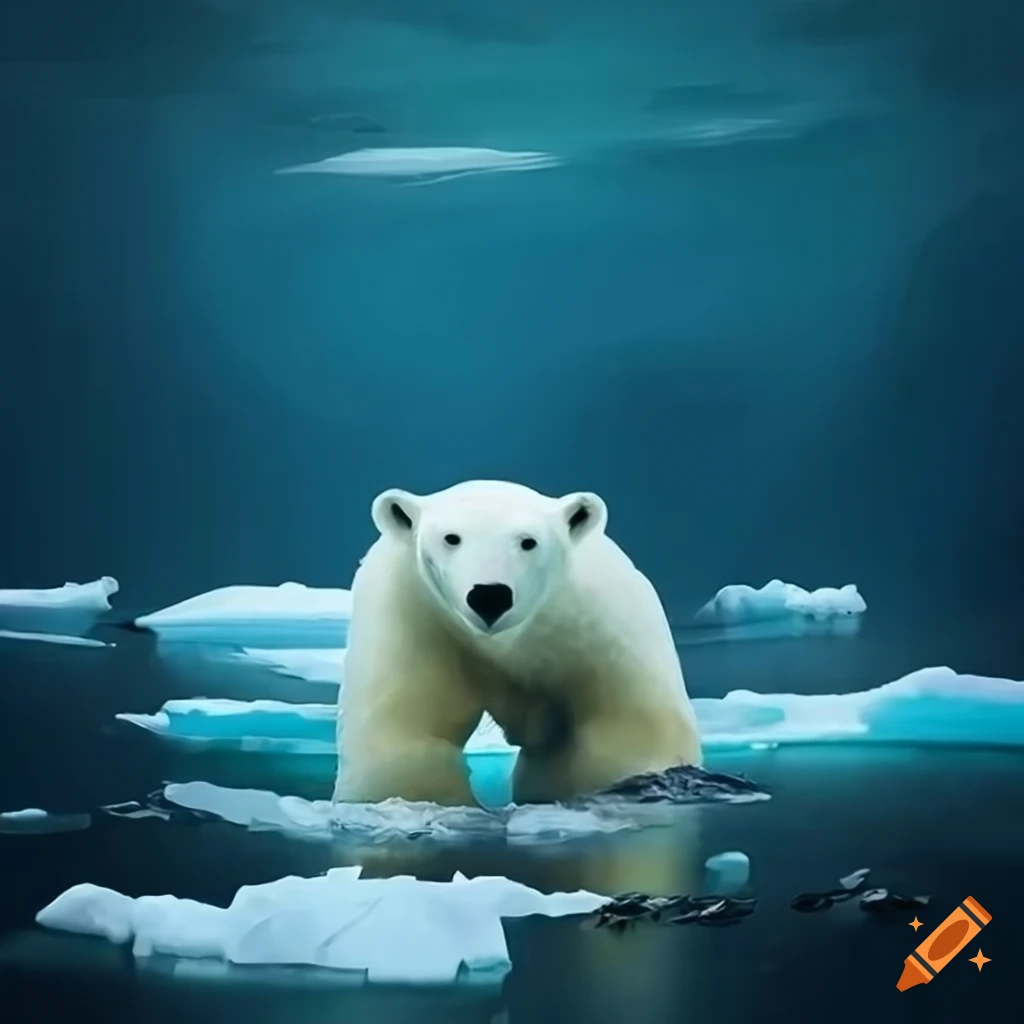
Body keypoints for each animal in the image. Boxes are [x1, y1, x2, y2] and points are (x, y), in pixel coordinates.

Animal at [332, 480, 702, 807]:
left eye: (528, 542)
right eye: (451, 538)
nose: (489, 596)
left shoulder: (602, 628)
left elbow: (625, 739)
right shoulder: (413, 613)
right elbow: (406, 740)